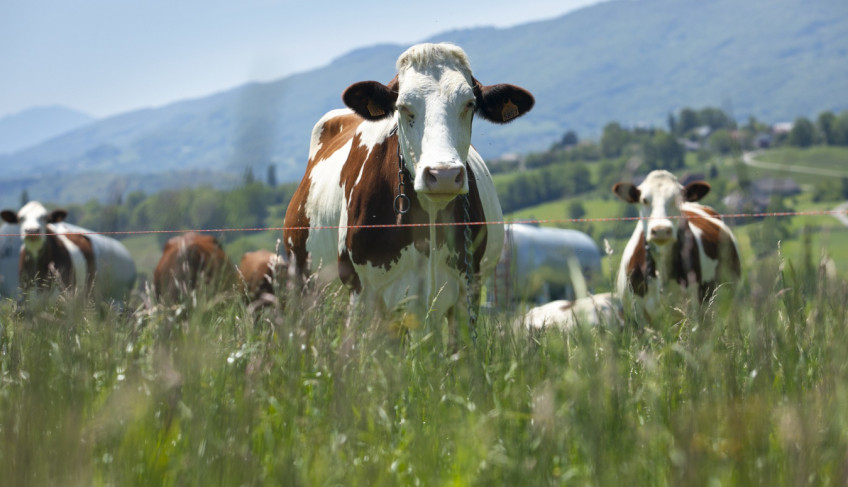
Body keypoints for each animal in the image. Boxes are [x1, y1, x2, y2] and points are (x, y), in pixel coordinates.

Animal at [284, 43, 536, 336]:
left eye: (470, 104)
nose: (443, 174)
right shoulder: (362, 293)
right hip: (305, 289)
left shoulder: (468, 291)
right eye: (403, 107)